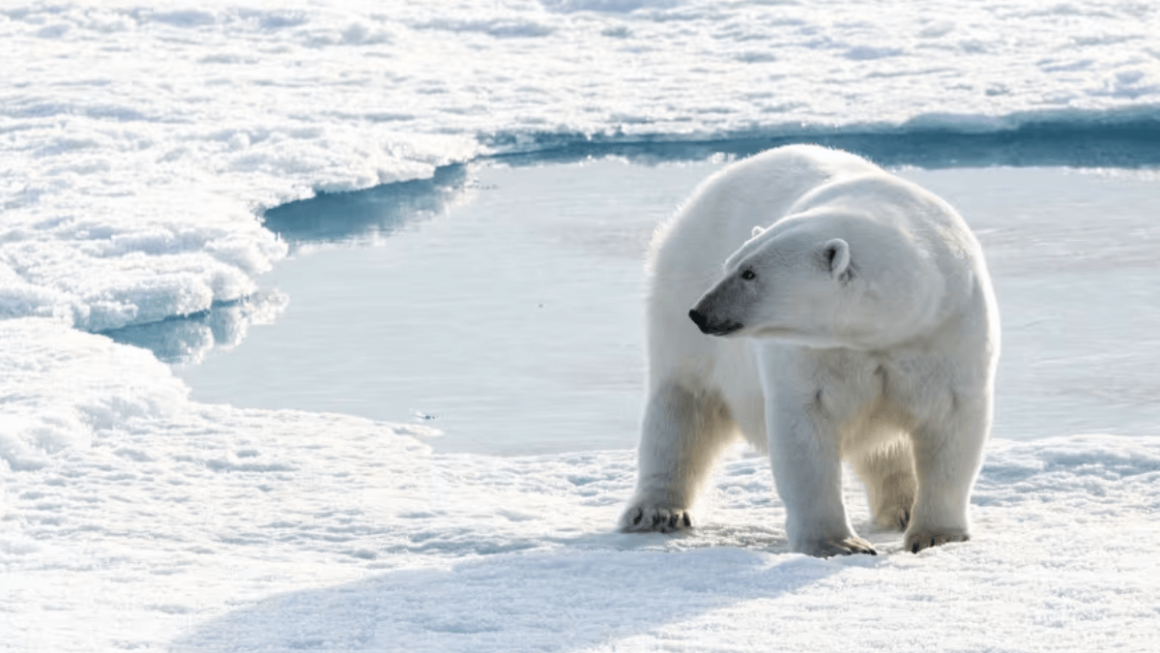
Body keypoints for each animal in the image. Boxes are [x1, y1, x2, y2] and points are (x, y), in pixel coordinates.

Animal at [619, 144, 1000, 557]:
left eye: (749, 273)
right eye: (731, 265)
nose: (701, 311)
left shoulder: (946, 331)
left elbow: (951, 422)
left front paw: (936, 535)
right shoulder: (810, 353)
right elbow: (804, 427)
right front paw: (840, 543)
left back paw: (902, 507)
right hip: (683, 305)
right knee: (682, 409)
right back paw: (657, 512)